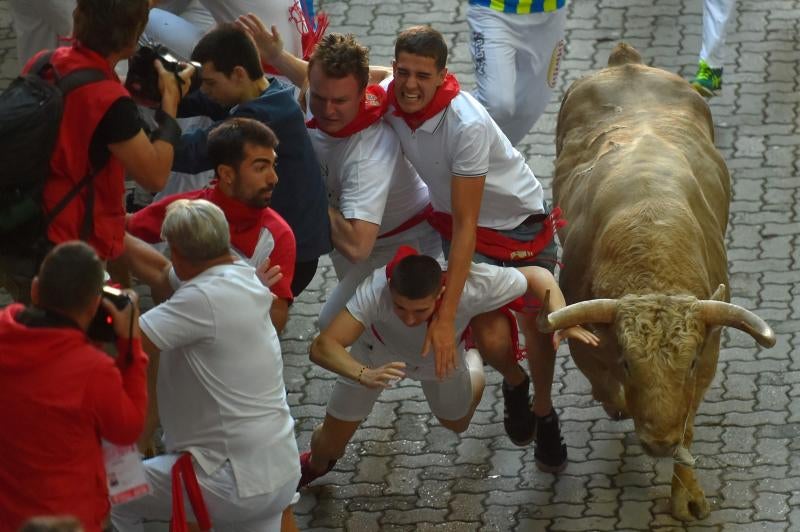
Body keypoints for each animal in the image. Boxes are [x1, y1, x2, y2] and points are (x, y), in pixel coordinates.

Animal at [536, 43, 776, 520]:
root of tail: (626, 62)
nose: (660, 442)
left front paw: (686, 492)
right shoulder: (587, 345)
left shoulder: (707, 357)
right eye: (629, 363)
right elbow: (607, 388)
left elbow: (689, 425)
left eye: (689, 362)